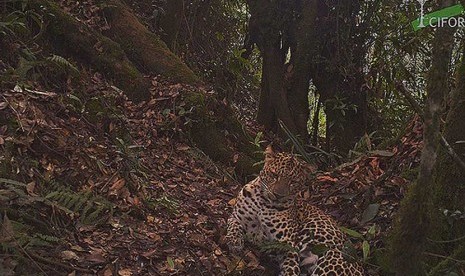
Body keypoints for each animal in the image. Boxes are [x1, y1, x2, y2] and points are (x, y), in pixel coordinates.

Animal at [225, 146, 362, 274]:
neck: (263, 202)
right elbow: (233, 225)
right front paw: (234, 241)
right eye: (274, 175)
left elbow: (291, 268)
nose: (278, 195)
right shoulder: (236, 216)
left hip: (331, 257)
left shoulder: (287, 245)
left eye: (293, 182)